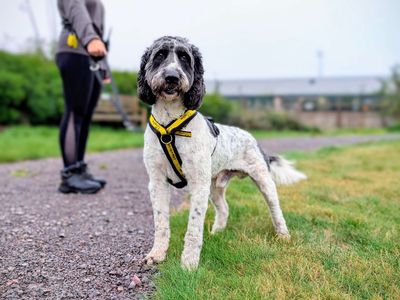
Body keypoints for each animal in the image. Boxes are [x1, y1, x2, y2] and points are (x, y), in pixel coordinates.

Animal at [138, 36, 306, 270]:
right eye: (160, 55)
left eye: (184, 57)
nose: (172, 77)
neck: (170, 125)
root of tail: (252, 138)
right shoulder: (157, 182)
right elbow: (161, 223)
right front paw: (157, 254)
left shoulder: (198, 184)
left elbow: (193, 228)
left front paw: (189, 264)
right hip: (214, 186)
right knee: (225, 208)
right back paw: (216, 232)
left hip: (263, 181)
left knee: (275, 209)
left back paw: (283, 235)